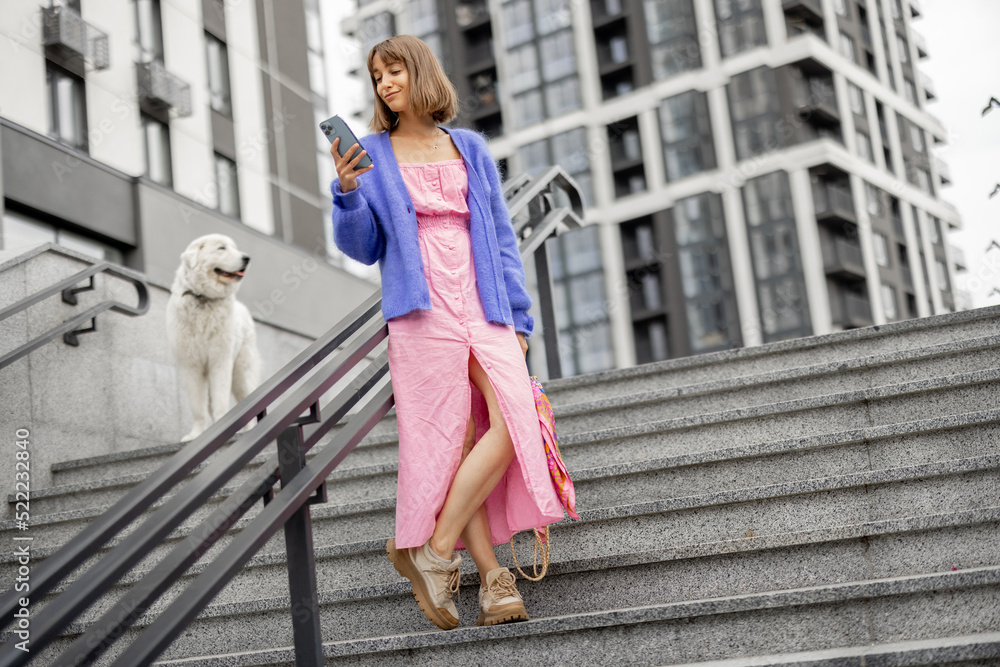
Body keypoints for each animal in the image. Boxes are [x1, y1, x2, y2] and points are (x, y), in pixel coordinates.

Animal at [167, 235, 262, 444]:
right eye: (221, 248)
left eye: (234, 248)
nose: (247, 258)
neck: (203, 299)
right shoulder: (191, 366)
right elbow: (198, 407)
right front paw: (196, 435)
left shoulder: (220, 361)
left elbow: (220, 401)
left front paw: (222, 429)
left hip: (241, 373)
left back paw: (249, 430)